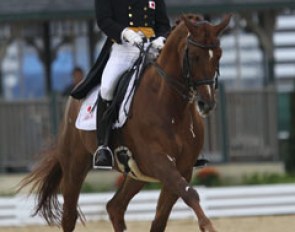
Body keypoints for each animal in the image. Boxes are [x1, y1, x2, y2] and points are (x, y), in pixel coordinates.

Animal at [19, 14, 231, 232]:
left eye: (219, 56)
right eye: (195, 56)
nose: (207, 103)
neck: (172, 107)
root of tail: (74, 98)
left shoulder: (183, 168)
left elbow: (161, 217)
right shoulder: (159, 161)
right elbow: (190, 193)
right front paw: (208, 226)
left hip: (137, 173)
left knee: (115, 206)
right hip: (74, 165)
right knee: (70, 214)